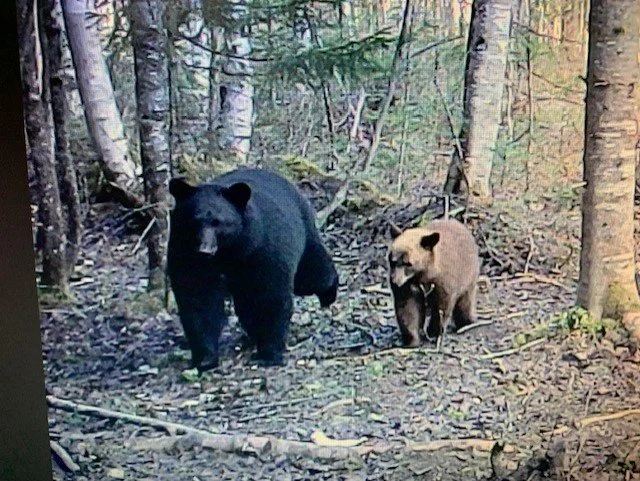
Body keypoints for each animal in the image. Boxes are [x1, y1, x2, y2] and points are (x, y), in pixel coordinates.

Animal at [167, 168, 339, 372]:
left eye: (218, 222)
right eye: (194, 221)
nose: (204, 250)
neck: (228, 253)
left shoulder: (261, 249)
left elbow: (269, 296)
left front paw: (268, 354)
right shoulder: (185, 255)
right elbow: (198, 300)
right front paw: (205, 358)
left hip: (303, 230)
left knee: (312, 275)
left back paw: (329, 294)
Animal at [387, 218, 480, 350]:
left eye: (408, 263)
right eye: (392, 260)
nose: (394, 281)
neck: (423, 274)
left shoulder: (443, 281)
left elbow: (442, 306)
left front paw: (434, 332)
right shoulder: (408, 286)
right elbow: (407, 308)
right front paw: (412, 340)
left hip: (469, 275)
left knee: (465, 301)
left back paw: (467, 322)